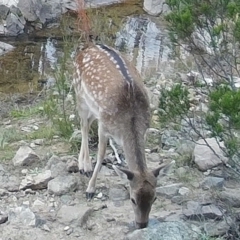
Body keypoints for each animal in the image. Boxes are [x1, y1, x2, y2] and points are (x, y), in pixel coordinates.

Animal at [73, 44, 167, 230]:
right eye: (132, 199)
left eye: (154, 198)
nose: (142, 224)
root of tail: (86, 49)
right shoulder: (104, 126)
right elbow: (101, 155)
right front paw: (90, 190)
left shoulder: (144, 129)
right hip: (80, 95)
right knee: (84, 126)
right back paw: (85, 166)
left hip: (94, 108)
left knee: (86, 123)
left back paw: (83, 165)